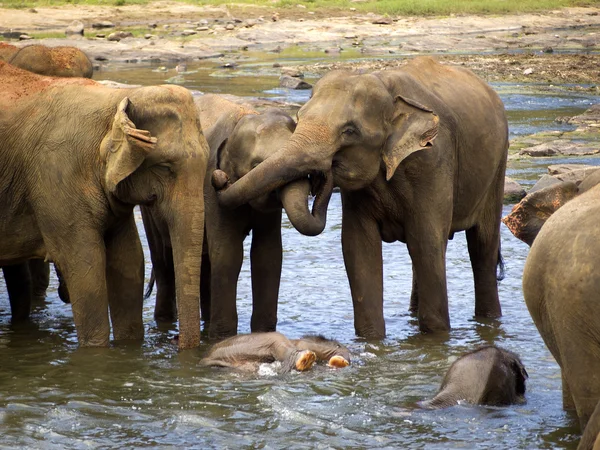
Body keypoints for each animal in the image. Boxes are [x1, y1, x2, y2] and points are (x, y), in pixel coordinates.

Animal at [0, 60, 209, 348]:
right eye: (165, 167)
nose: (175, 339)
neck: (116, 98)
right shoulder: (56, 176)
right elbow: (86, 269)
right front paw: (95, 352)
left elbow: (129, 262)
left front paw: (128, 349)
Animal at [143, 96, 328, 342]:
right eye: (257, 165)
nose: (221, 179)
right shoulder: (209, 191)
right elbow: (228, 253)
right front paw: (223, 338)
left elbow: (267, 255)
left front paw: (262, 334)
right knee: (163, 261)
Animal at [213, 55, 508, 338]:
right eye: (299, 115)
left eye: (350, 131)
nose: (220, 177)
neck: (385, 85)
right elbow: (358, 247)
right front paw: (371, 340)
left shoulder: (431, 161)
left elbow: (426, 242)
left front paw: (435, 339)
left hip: (497, 169)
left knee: (482, 245)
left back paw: (489, 321)